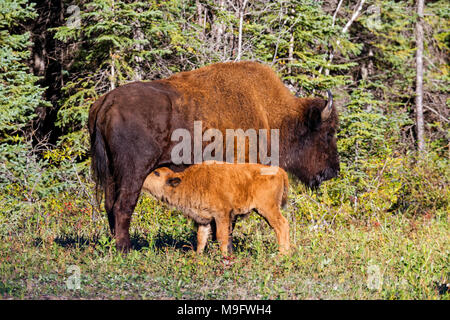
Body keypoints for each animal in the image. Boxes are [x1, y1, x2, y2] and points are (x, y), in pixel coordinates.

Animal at [142, 162, 290, 255]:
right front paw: (198, 256)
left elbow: (221, 237)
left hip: (268, 209)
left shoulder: (222, 215)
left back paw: (282, 255)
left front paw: (224, 257)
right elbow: (201, 238)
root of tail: (280, 171)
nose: (143, 178)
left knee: (281, 225)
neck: (189, 181)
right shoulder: (204, 219)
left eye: (156, 173)